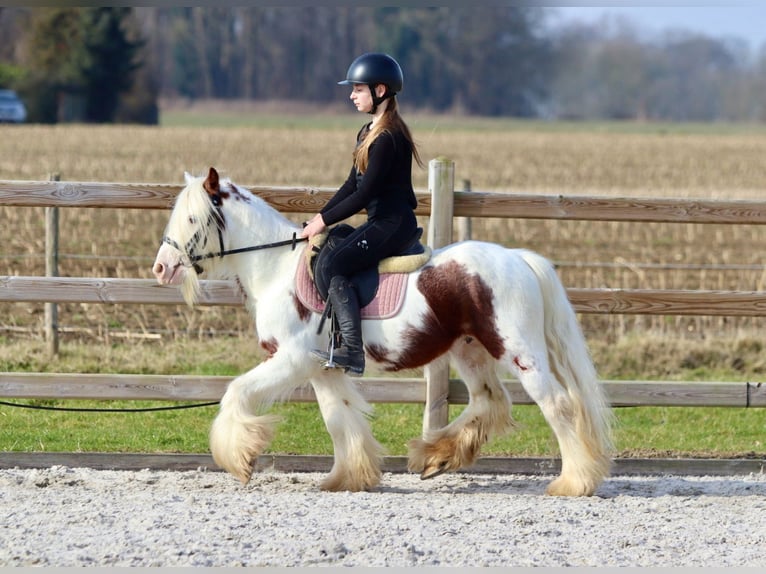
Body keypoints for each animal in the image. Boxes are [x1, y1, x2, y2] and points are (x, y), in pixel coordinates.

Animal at [153, 169, 616, 498]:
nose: (161, 268)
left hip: (518, 350)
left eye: (193, 218)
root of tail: (518, 258)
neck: (275, 268)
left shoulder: (292, 359)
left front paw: (241, 458)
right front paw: (348, 478)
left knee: (557, 405)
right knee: (490, 401)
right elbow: (339, 418)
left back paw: (573, 483)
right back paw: (434, 457)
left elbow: (235, 392)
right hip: (469, 350)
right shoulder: (323, 369)